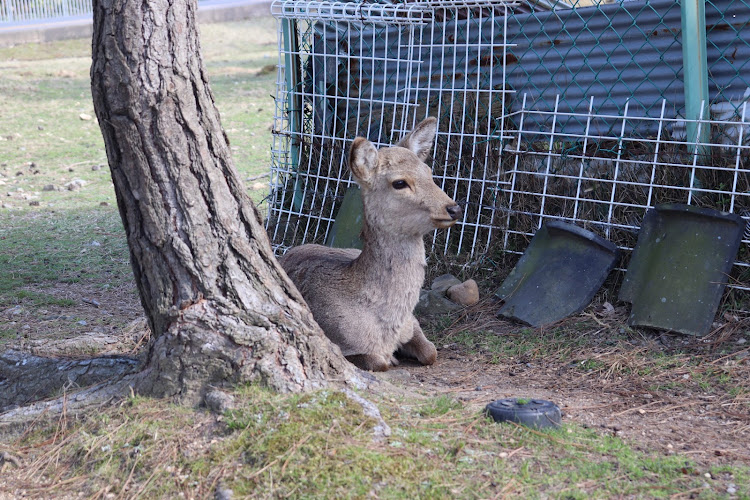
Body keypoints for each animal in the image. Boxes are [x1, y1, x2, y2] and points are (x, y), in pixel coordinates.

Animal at [280, 118, 462, 372]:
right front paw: (391, 359)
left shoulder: (412, 322)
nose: (454, 208)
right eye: (399, 182)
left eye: (428, 172)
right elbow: (379, 362)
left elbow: (430, 352)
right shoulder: (339, 340)